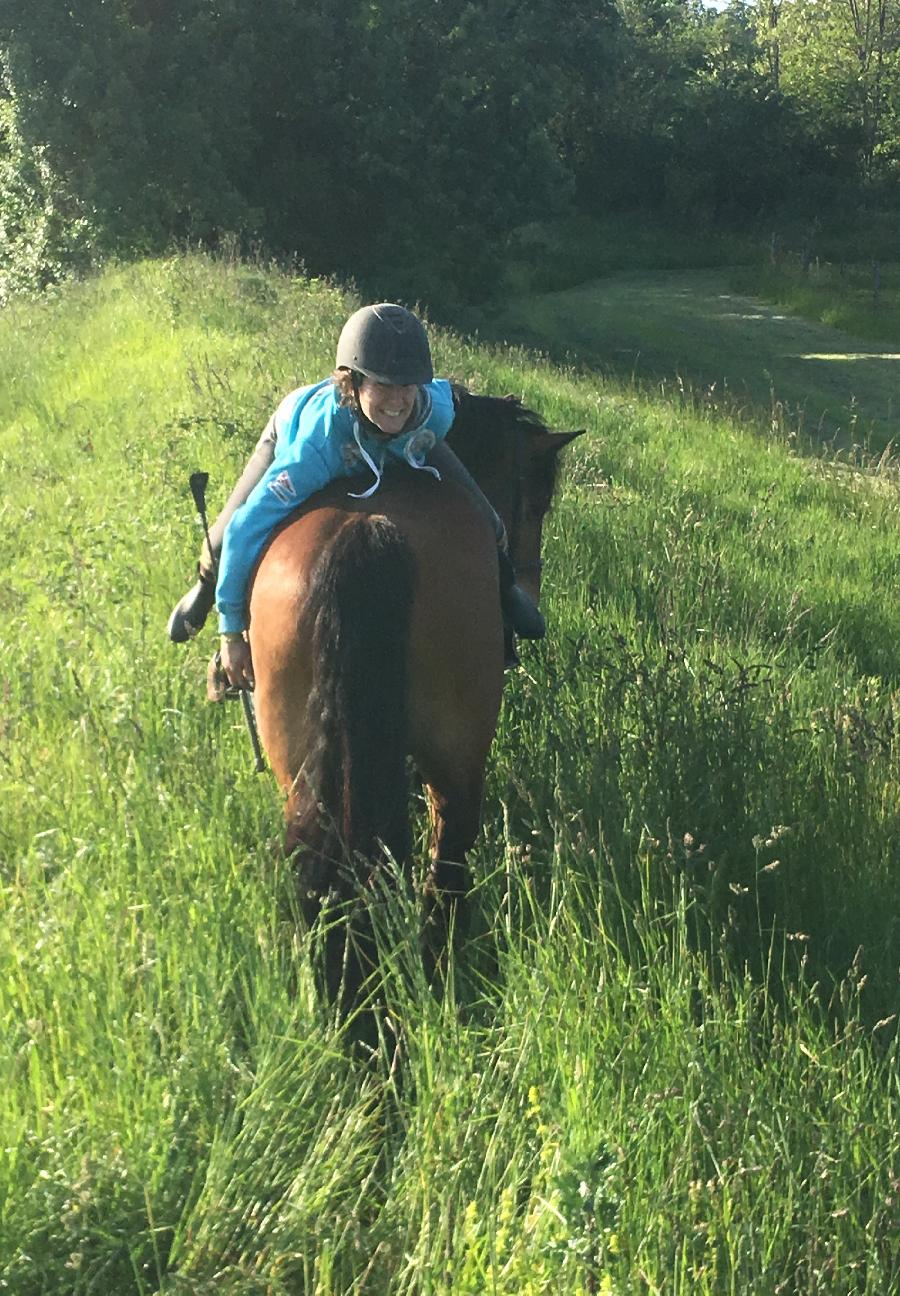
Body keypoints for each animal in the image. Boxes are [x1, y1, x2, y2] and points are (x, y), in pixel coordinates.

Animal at [248, 386, 586, 1000]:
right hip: (457, 760)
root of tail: (366, 533)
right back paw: (441, 968)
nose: (529, 593)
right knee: (447, 858)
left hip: (299, 766)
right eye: (539, 503)